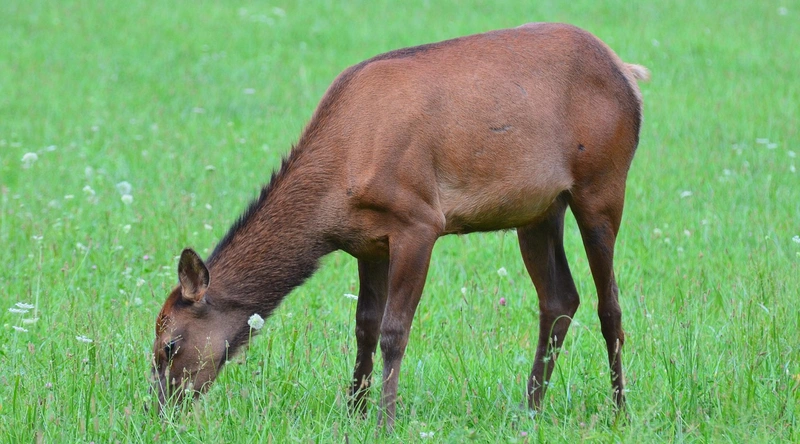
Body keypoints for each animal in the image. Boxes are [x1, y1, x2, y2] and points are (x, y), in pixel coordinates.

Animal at [152, 22, 649, 430]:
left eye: (169, 345)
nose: (158, 409)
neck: (336, 190)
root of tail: (628, 73)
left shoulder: (419, 220)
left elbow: (394, 331)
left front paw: (384, 421)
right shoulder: (367, 241)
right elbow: (364, 327)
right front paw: (353, 410)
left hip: (601, 183)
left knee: (610, 305)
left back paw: (619, 411)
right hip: (539, 210)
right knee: (560, 297)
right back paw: (530, 408)